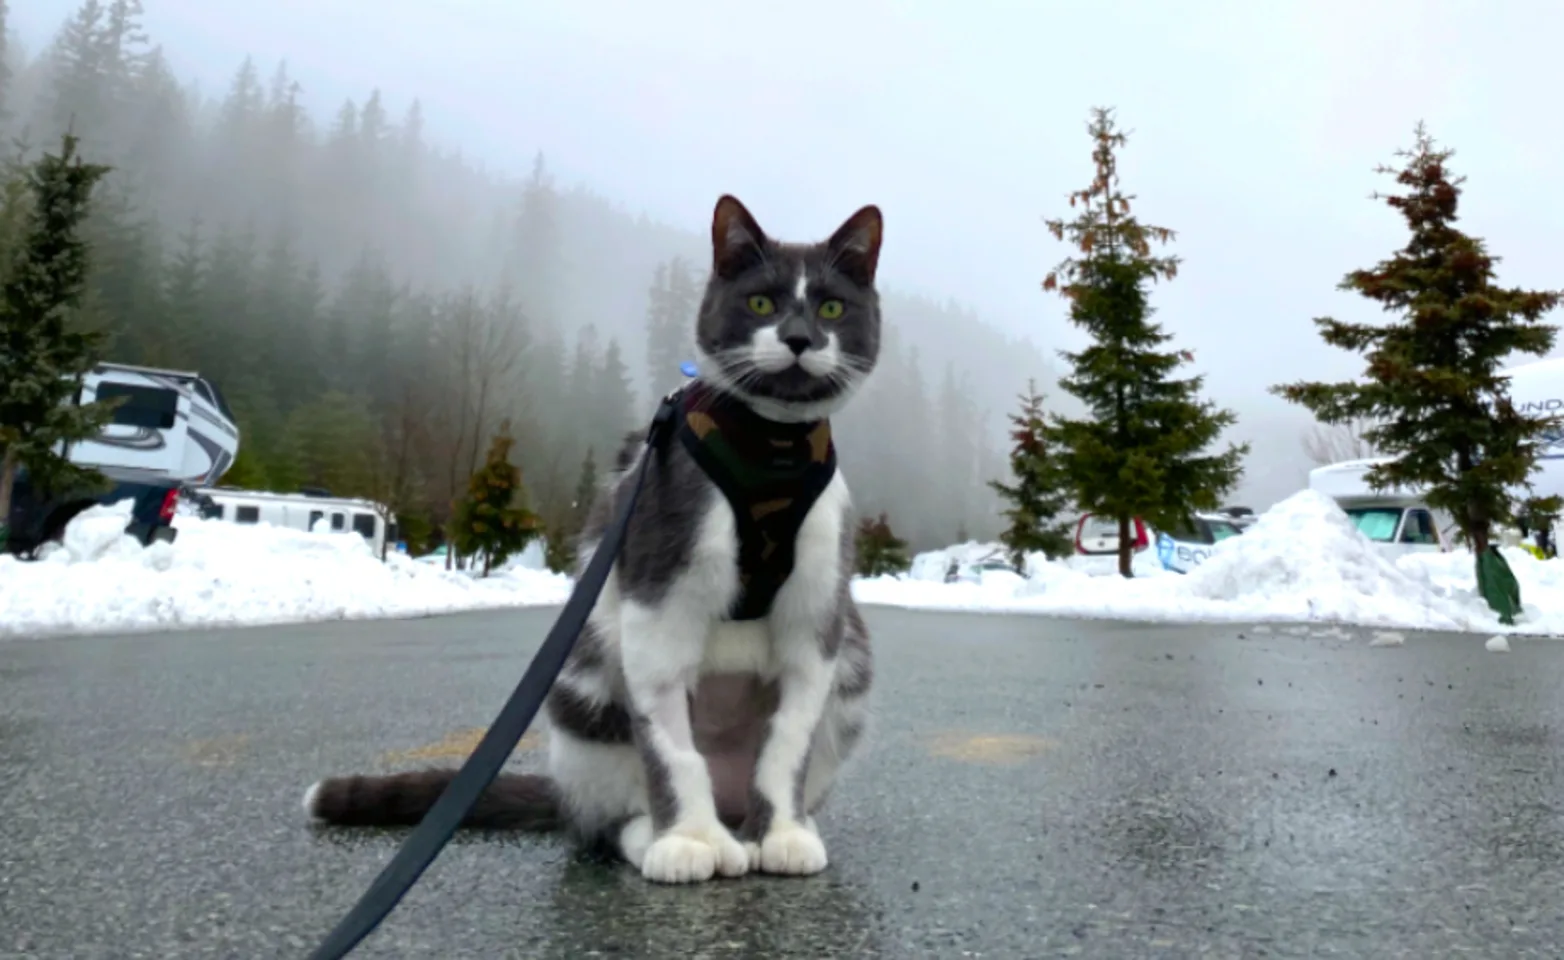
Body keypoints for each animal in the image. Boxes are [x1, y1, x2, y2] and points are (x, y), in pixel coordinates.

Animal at [304, 195, 882, 888]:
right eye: (762, 302)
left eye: (831, 308)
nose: (797, 339)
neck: (772, 448)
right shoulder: (659, 588)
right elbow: (671, 748)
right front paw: (685, 840)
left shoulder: (817, 609)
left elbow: (788, 738)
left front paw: (786, 834)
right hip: (581, 689)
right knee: (603, 821)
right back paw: (664, 834)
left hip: (852, 673)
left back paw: (769, 830)